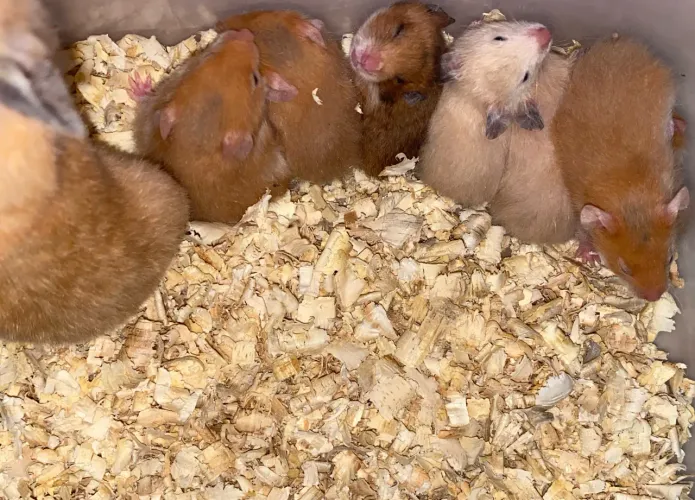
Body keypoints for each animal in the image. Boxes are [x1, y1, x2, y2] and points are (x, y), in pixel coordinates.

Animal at [552, 37, 689, 302]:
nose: (654, 298)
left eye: (669, 258)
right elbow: (583, 233)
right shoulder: (579, 204)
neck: (631, 194)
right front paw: (588, 258)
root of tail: (620, 42)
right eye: (624, 268)